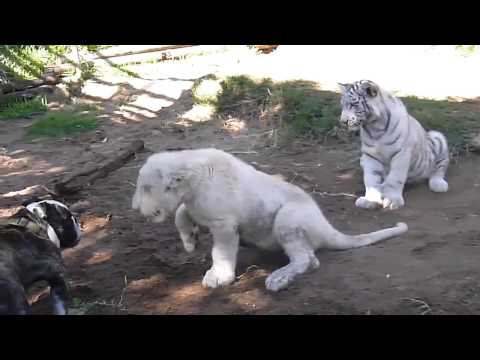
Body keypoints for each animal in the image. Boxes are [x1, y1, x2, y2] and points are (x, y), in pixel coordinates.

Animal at [340, 78, 448, 208]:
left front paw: (392, 200)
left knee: (439, 168)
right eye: (342, 105)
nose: (343, 121)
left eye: (353, 104)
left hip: (437, 138)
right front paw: (370, 200)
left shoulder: (401, 153)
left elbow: (395, 178)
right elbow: (371, 178)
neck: (374, 127)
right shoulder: (370, 155)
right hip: (363, 159)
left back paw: (438, 184)